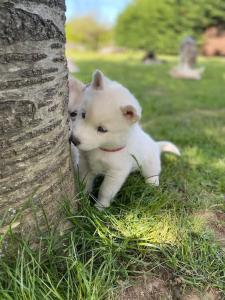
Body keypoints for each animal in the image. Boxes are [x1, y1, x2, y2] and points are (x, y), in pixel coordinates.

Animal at [68, 71, 179, 210]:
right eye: (83, 115)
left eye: (102, 129)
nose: (74, 140)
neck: (102, 149)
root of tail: (155, 144)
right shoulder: (85, 163)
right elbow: (84, 182)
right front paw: (82, 198)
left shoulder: (116, 173)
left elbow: (105, 191)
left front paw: (100, 207)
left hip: (150, 164)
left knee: (153, 173)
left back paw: (152, 185)